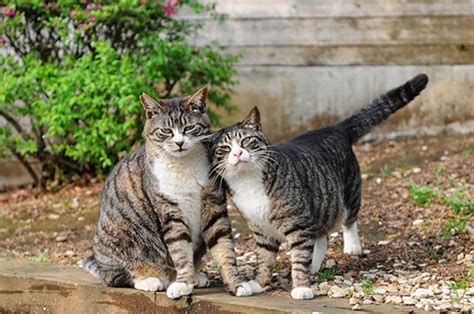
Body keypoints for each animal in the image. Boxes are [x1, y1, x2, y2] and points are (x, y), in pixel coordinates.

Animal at [79, 87, 256, 298]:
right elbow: (180, 251)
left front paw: (236, 284)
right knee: (118, 278)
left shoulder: (214, 207)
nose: (179, 143)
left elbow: (224, 248)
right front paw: (183, 284)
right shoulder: (170, 212)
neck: (184, 165)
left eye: (189, 128)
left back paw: (194, 277)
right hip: (119, 235)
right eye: (166, 131)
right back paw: (151, 279)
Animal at [209, 73, 428, 300]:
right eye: (225, 149)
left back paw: (351, 246)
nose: (237, 153)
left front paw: (301, 287)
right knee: (321, 237)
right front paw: (260, 283)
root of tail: (334, 128)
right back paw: (313, 264)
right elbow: (265, 260)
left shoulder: (298, 222)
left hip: (347, 191)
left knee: (349, 219)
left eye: (246, 141)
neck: (248, 181)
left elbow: (298, 256)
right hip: (321, 204)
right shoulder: (261, 230)